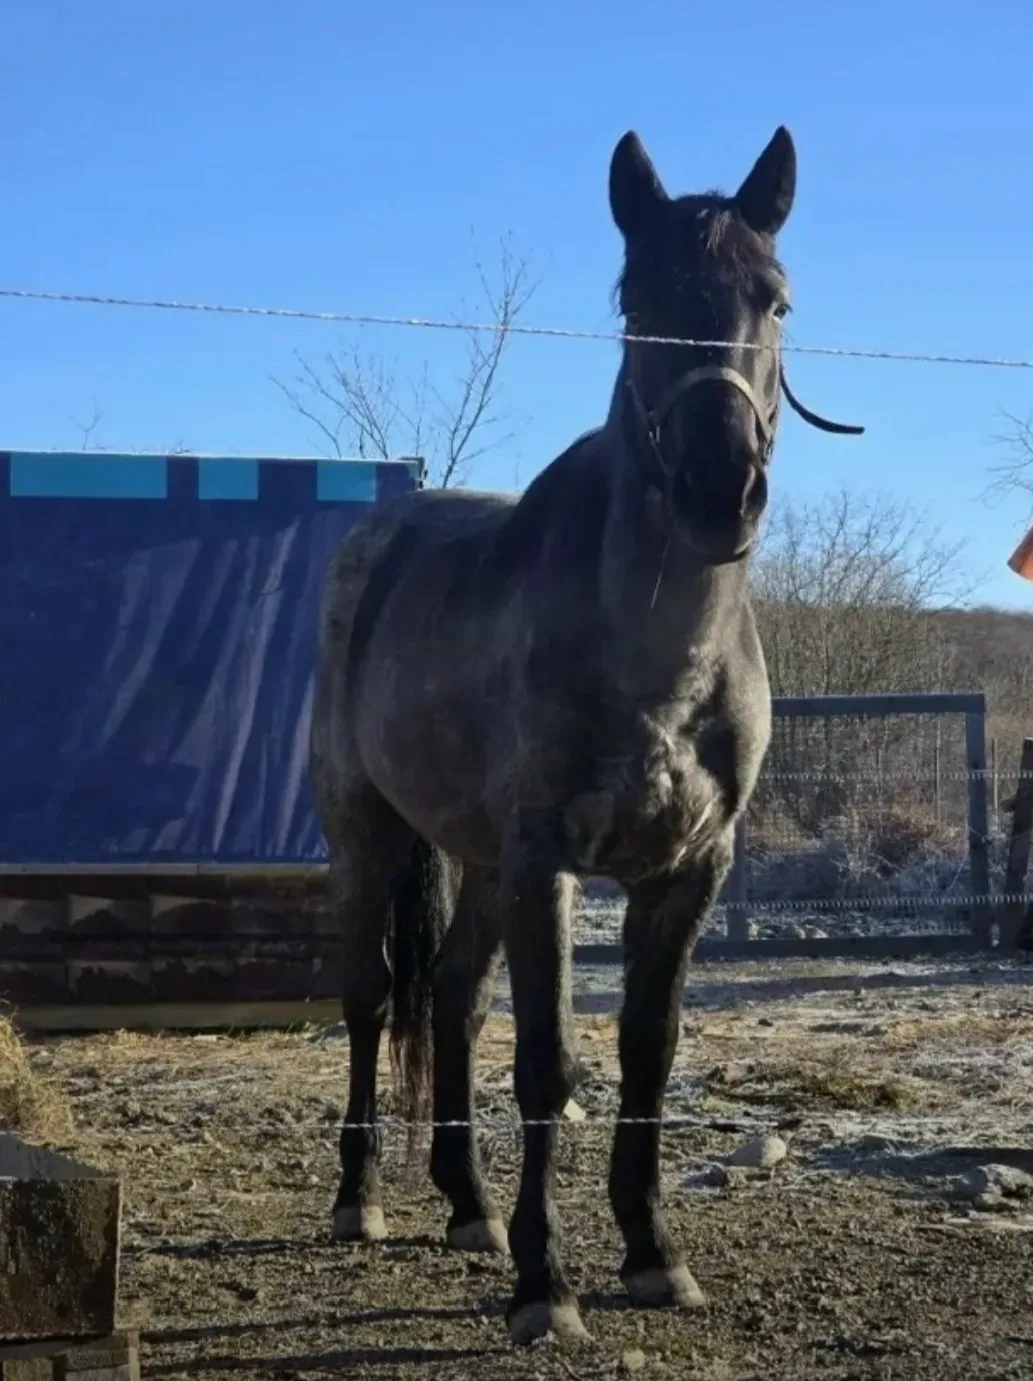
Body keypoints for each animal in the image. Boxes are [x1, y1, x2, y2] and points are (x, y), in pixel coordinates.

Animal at [309, 125, 863, 1345]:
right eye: (636, 300)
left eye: (775, 298)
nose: (719, 488)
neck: (655, 661)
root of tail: (379, 534)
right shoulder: (547, 863)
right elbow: (549, 1064)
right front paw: (545, 1283)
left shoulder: (686, 873)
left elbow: (647, 1057)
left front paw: (652, 1253)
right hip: (367, 833)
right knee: (372, 996)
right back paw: (359, 1200)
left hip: (472, 860)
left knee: (452, 997)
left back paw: (466, 1205)